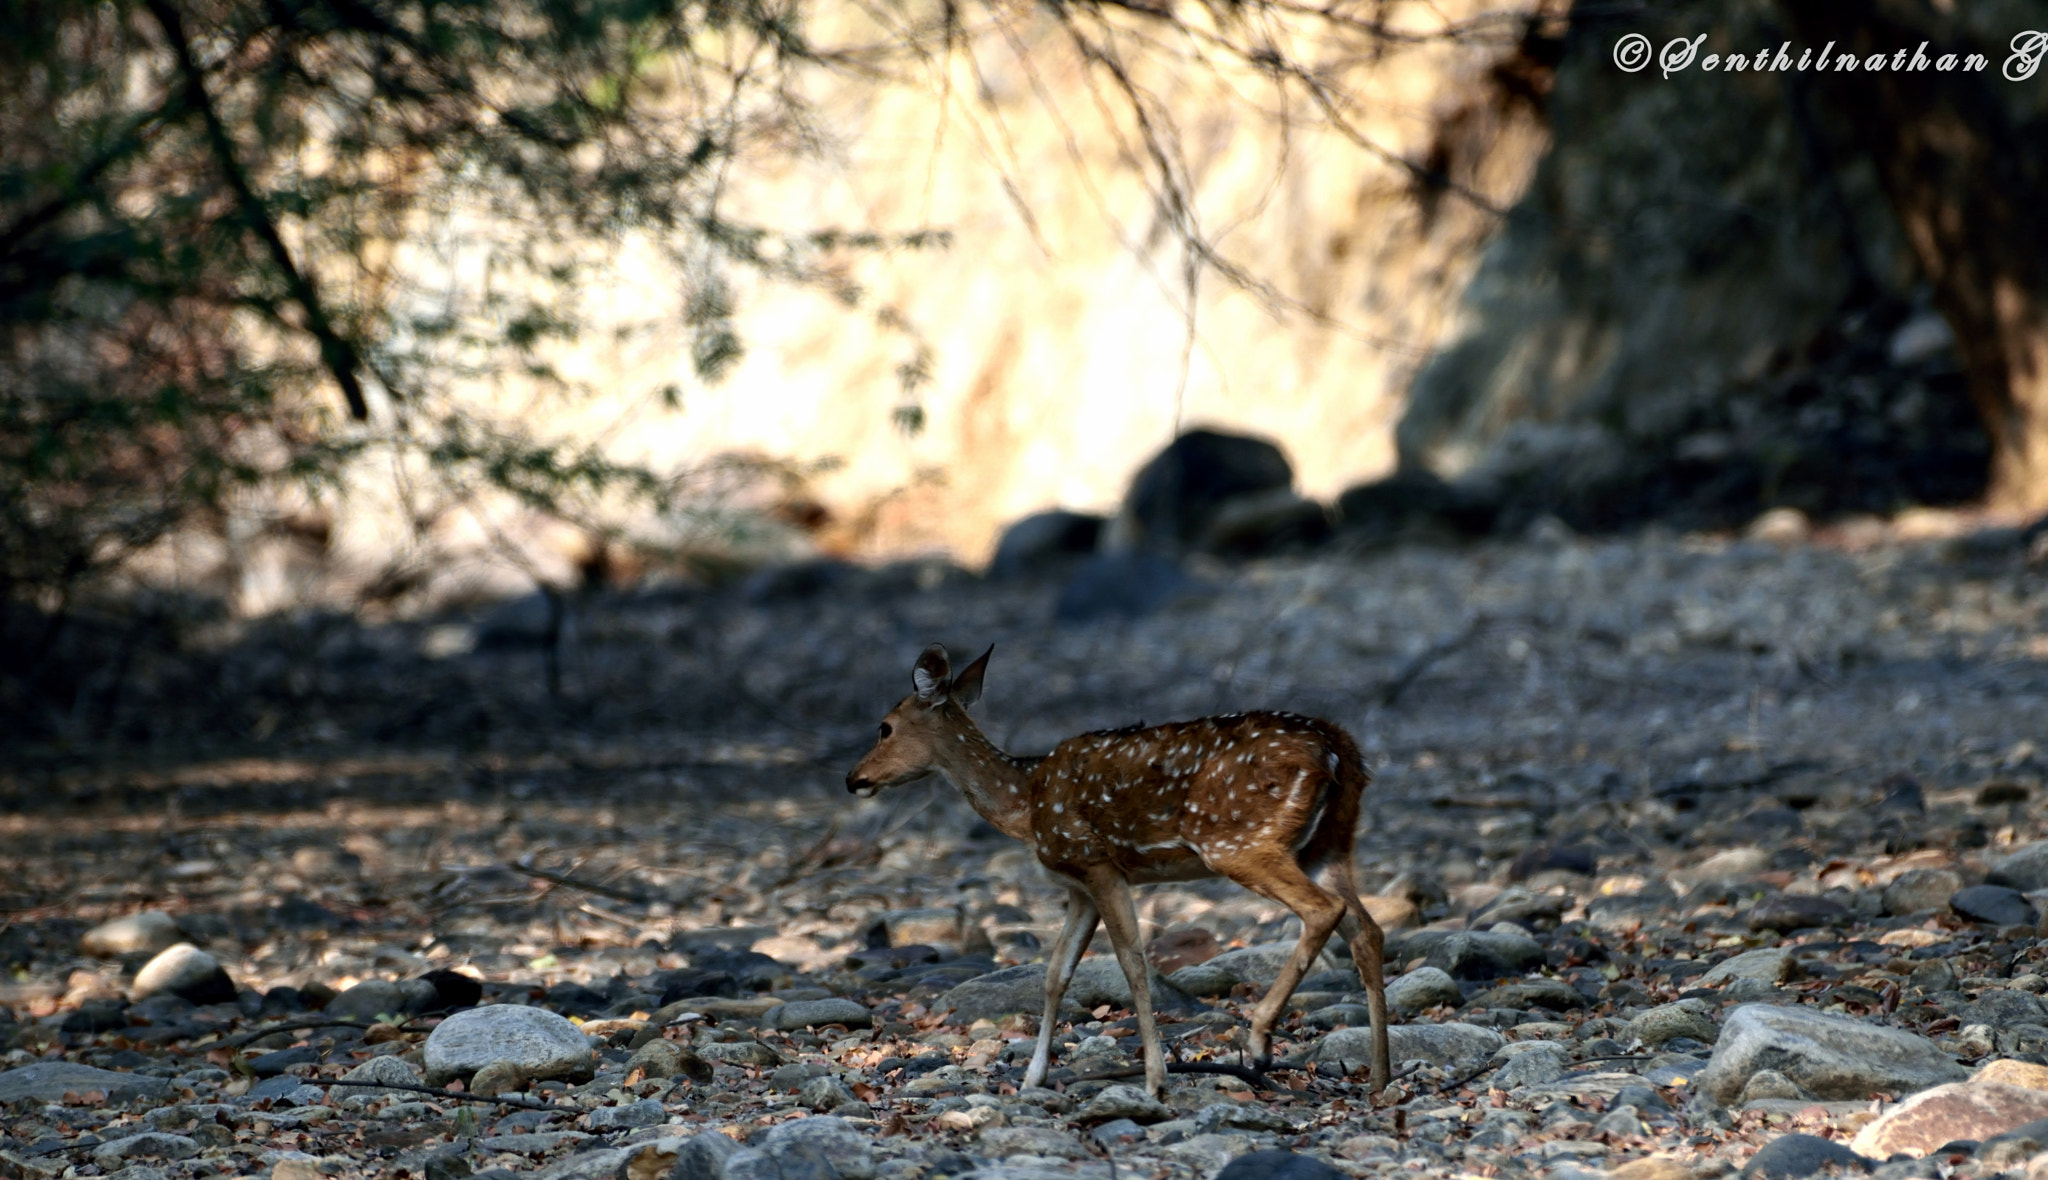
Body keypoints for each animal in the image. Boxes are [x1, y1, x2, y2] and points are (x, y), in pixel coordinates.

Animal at [845, 643, 1391, 1098]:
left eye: (885, 726)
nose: (853, 778)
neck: (1025, 803)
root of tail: (1336, 747)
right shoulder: (1079, 886)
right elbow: (1056, 974)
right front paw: (1032, 1079)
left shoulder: (1097, 862)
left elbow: (1132, 961)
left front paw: (1154, 1080)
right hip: (1328, 843)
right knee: (1367, 928)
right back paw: (1380, 1079)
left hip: (1239, 841)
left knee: (1324, 911)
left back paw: (1259, 1042)